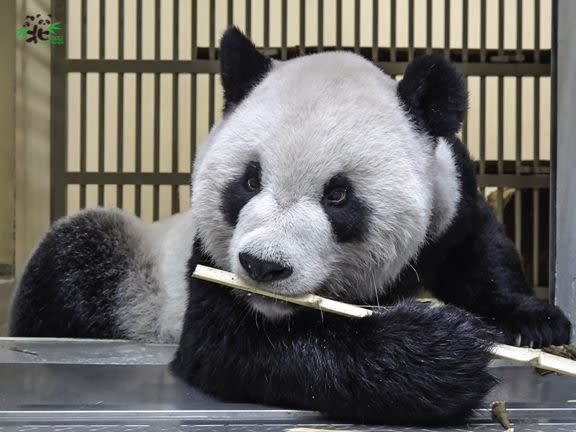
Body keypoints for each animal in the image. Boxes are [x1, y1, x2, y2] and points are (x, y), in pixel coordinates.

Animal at [9, 27, 572, 426]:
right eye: (248, 179)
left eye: (338, 196)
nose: (263, 266)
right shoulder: (204, 260)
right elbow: (230, 345)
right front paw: (440, 353)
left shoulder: (448, 198)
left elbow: (478, 253)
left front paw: (534, 323)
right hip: (134, 266)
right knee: (75, 260)